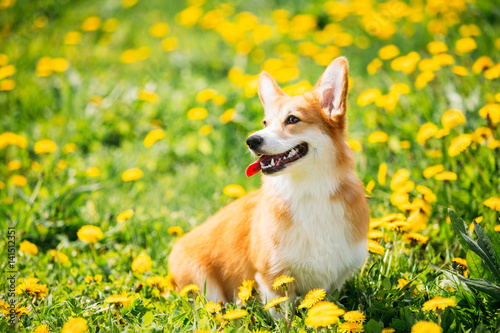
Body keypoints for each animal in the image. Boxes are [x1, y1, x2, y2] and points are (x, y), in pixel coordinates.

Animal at [170, 56, 370, 300]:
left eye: (292, 119)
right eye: (265, 123)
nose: (251, 140)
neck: (308, 191)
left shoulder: (334, 279)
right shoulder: (271, 276)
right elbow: (282, 309)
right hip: (204, 286)